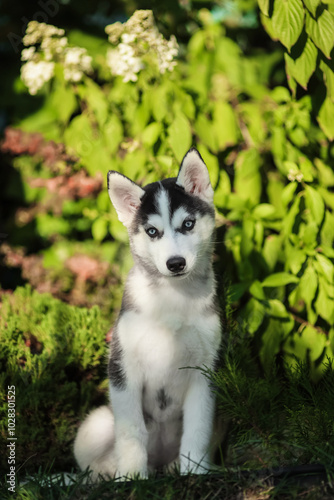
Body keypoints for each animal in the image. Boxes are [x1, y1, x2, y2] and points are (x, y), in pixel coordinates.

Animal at [73, 146, 222, 478]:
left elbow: (198, 428)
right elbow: (131, 431)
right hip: (94, 426)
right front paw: (131, 478)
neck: (172, 298)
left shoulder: (205, 372)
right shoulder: (123, 366)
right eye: (153, 231)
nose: (175, 264)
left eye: (188, 224)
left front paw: (195, 473)